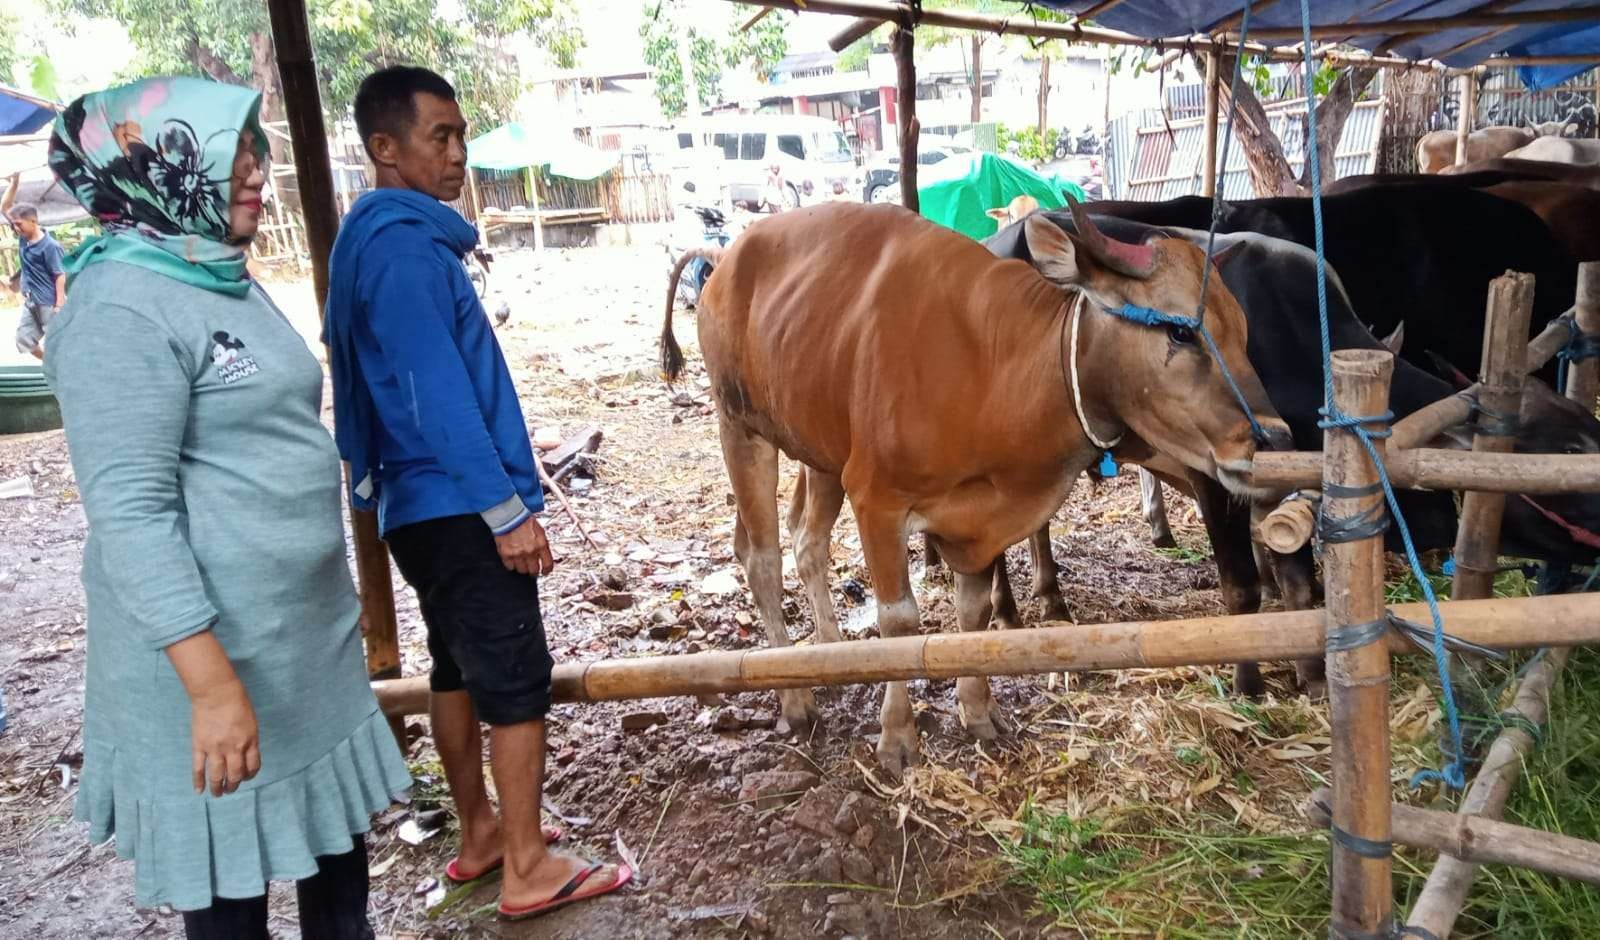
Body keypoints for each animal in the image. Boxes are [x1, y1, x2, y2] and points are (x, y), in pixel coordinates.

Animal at [659, 203, 1286, 770]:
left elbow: (974, 613)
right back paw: (794, 697)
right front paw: (897, 735)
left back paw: (829, 652)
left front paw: (978, 709)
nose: (1274, 437)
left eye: (1245, 332)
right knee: (761, 558)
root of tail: (727, 256)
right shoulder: (876, 498)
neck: (994, 369)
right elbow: (900, 622)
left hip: (820, 450)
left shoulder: (976, 521)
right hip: (741, 428)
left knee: (806, 541)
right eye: (1182, 330)